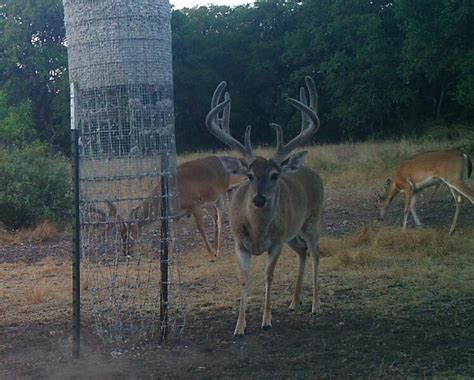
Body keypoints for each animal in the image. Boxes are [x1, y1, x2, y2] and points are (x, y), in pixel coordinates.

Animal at [206, 76, 324, 336]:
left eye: (274, 174)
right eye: (249, 175)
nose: (259, 199)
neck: (258, 232)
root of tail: (310, 171)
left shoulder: (276, 242)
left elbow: (269, 276)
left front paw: (266, 320)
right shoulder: (239, 242)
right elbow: (244, 279)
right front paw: (239, 326)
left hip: (312, 220)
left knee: (315, 254)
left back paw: (315, 304)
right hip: (292, 233)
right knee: (302, 251)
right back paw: (294, 301)